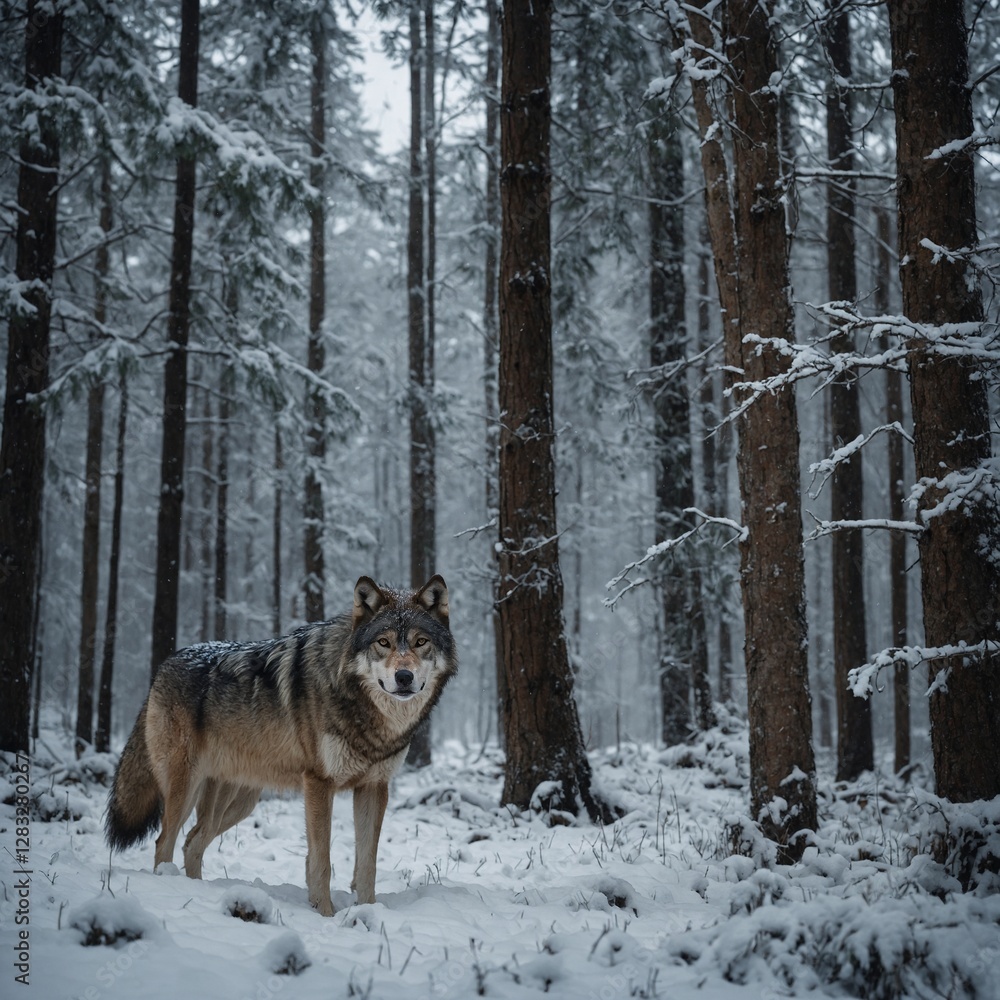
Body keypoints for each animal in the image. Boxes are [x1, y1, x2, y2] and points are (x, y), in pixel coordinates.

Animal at [105, 575, 457, 916]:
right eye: (383, 643)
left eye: (420, 642)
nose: (404, 677)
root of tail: (164, 665)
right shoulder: (319, 783)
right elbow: (321, 861)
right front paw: (325, 915)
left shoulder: (374, 787)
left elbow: (367, 864)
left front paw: (369, 913)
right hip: (185, 789)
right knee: (164, 842)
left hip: (239, 802)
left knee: (192, 842)